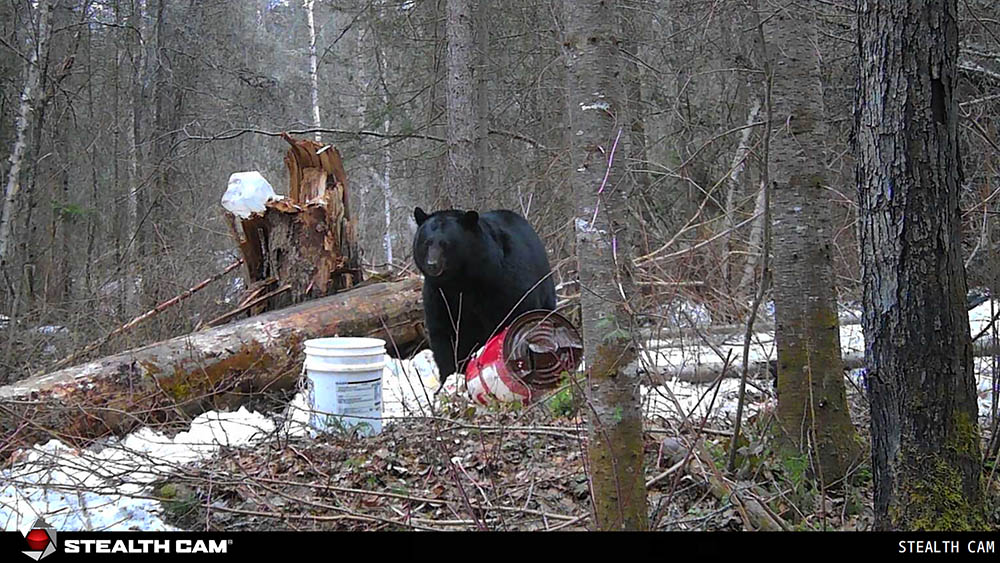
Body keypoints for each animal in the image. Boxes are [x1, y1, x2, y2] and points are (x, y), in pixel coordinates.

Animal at [412, 207, 557, 384]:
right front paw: (451, 378)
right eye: (426, 243)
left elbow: (516, 317)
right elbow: (444, 336)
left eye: (445, 244)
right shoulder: (438, 295)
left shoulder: (505, 283)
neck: (460, 281)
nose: (432, 264)